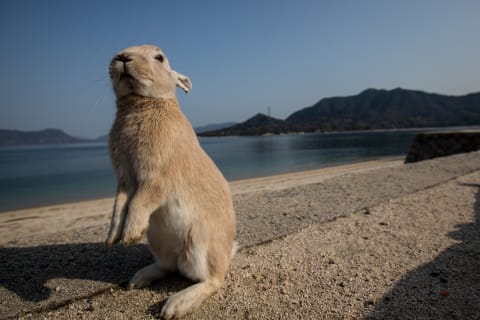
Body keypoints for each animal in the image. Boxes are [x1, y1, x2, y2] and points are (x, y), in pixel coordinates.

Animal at [107, 45, 238, 320]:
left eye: (159, 57)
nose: (122, 57)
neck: (143, 103)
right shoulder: (124, 179)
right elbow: (120, 205)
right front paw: (113, 239)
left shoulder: (156, 179)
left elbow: (138, 202)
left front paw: (130, 235)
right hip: (158, 241)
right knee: (168, 266)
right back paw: (137, 279)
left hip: (199, 244)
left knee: (212, 280)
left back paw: (174, 306)